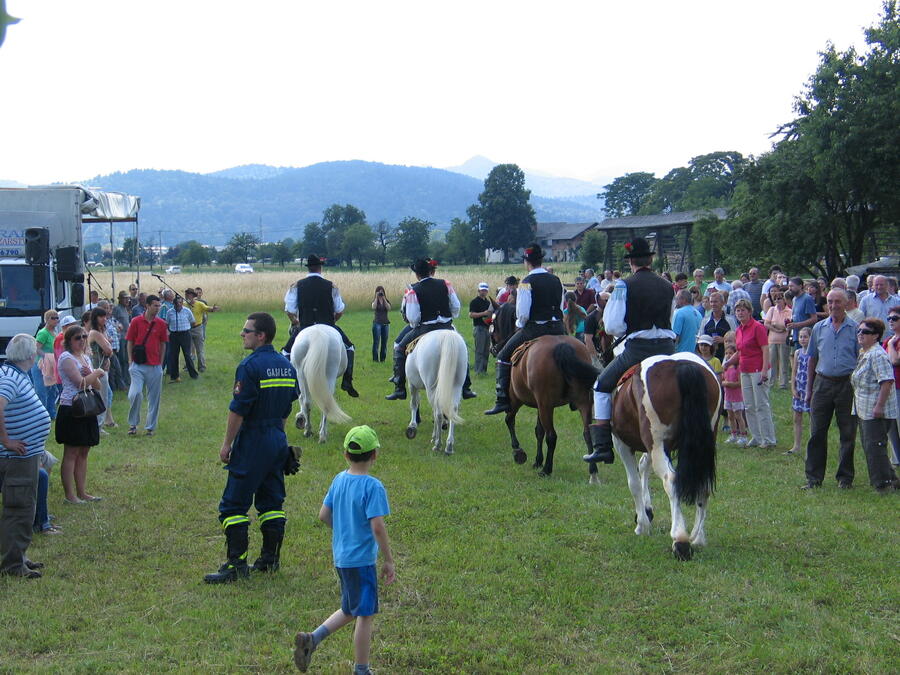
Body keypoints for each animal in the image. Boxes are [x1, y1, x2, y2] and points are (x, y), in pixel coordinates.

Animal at [488, 302, 600, 480]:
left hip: (544, 404)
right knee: (587, 433)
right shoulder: (539, 405)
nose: (493, 348)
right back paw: (593, 470)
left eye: (493, 323)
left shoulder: (516, 401)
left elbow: (509, 420)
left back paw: (547, 469)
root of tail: (562, 347)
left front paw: (518, 451)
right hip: (581, 402)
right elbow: (538, 431)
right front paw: (537, 460)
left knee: (552, 435)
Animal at [612, 352, 716, 564]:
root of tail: (681, 366)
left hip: (657, 445)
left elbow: (634, 483)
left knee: (671, 480)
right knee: (704, 485)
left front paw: (642, 525)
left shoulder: (622, 444)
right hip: (702, 446)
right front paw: (647, 510)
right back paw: (698, 538)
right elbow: (644, 466)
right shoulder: (653, 447)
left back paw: (680, 540)